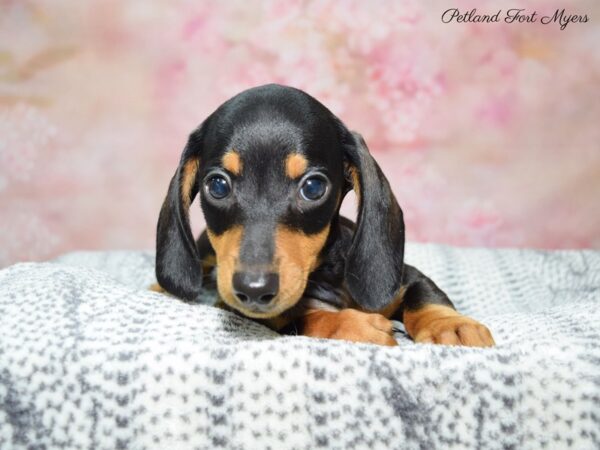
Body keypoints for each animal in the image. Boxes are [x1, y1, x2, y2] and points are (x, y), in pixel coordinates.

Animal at [152, 82, 494, 346]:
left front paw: (450, 324)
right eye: (218, 186)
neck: (325, 273)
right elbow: (301, 317)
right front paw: (352, 324)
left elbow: (425, 293)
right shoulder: (244, 309)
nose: (253, 289)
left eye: (314, 187)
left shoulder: (406, 277)